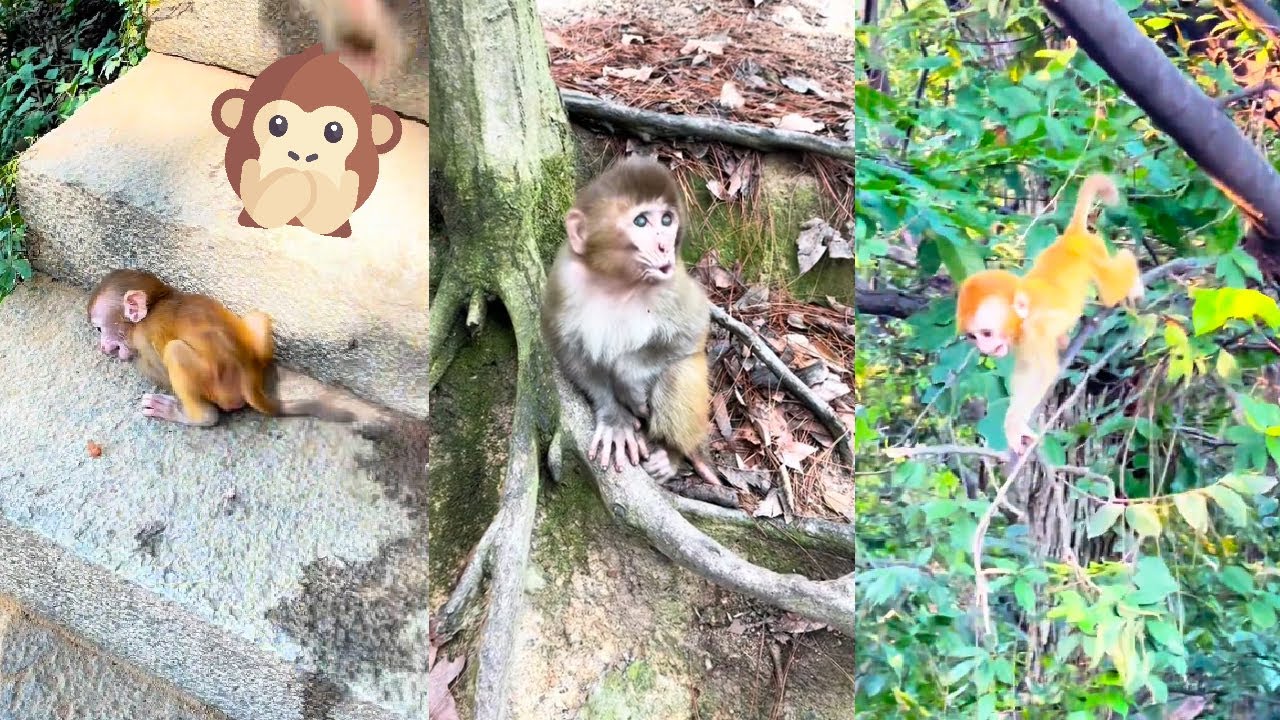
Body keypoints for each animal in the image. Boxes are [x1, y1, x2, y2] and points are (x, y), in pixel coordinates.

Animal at [87, 269, 355, 425]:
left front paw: (128, 356)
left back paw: (193, 416)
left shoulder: (145, 338)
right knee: (257, 317)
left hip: (220, 389)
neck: (154, 305)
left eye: (100, 329)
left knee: (175, 352)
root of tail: (249, 380)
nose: (103, 347)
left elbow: (156, 367)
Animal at [541, 156, 720, 484]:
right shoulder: (564, 279)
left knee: (678, 370)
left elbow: (693, 329)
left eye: (666, 220)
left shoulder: (671, 283)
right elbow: (566, 349)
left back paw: (671, 455)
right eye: (640, 222)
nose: (664, 246)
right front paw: (615, 419)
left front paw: (628, 377)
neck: (617, 282)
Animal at [955, 173, 1144, 454]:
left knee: (1112, 287)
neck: (1023, 313)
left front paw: (1014, 427)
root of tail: (1071, 238)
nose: (984, 348)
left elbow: (1040, 373)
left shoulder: (1035, 330)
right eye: (973, 337)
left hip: (1092, 251)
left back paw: (1130, 268)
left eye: (986, 333)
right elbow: (1024, 373)